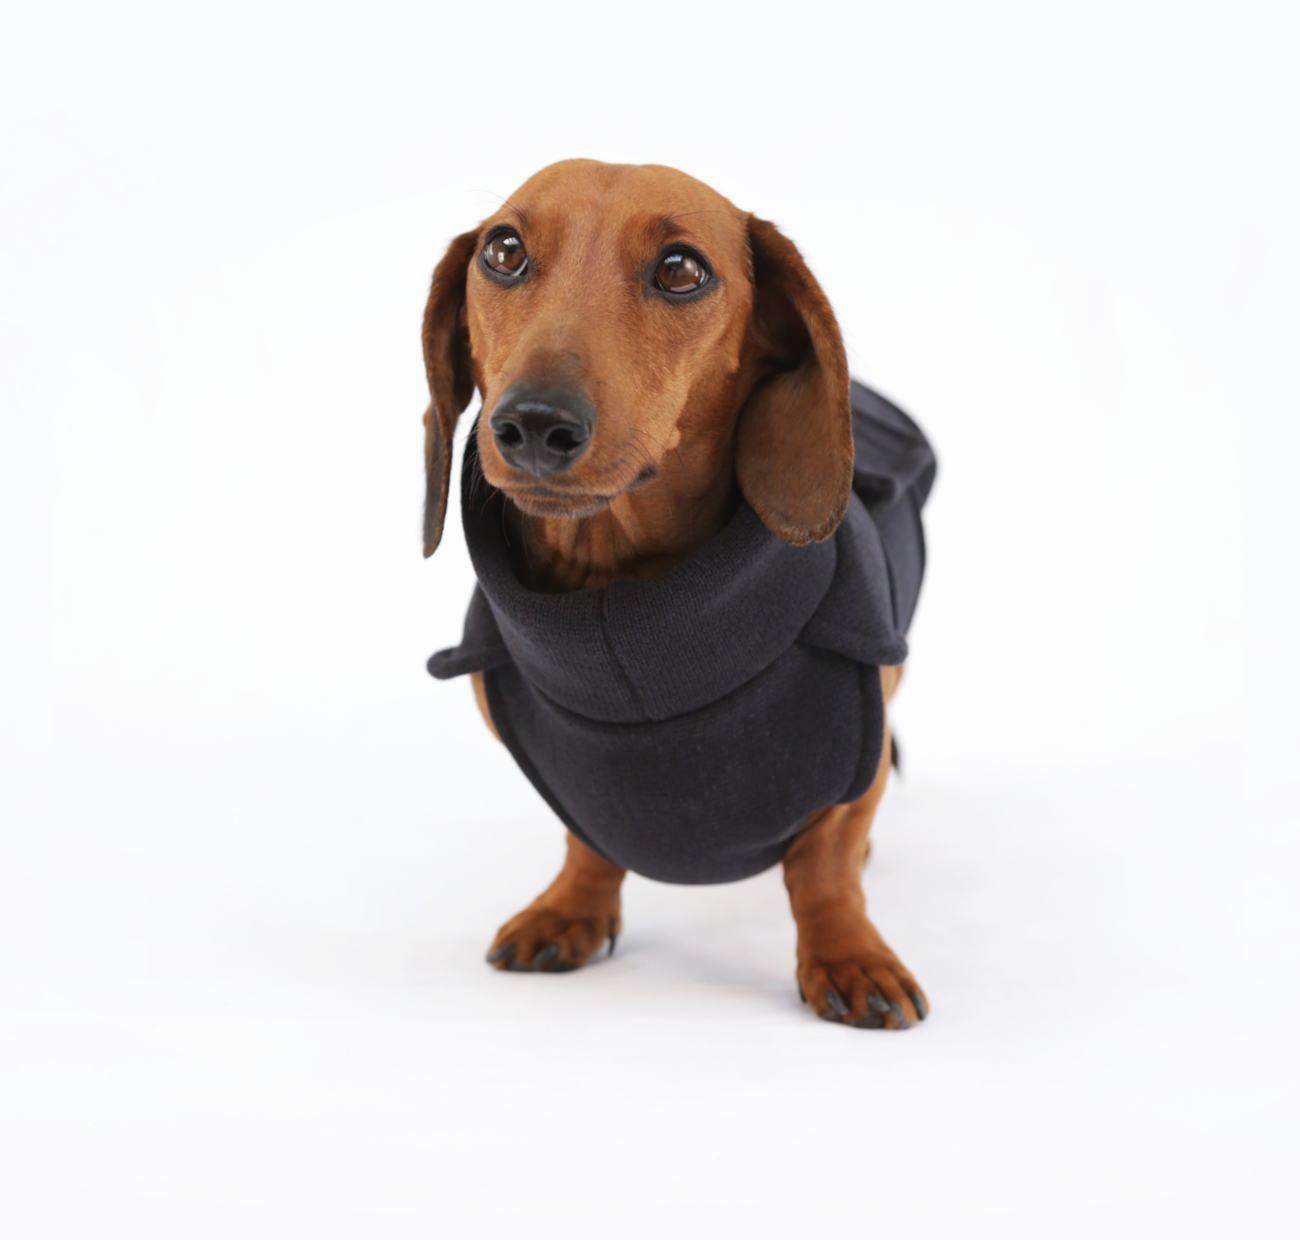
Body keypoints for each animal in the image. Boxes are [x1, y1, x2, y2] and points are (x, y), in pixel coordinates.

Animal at [422, 160, 935, 1030]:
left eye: (680, 270)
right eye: (503, 251)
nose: (534, 424)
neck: (624, 616)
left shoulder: (864, 737)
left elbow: (825, 864)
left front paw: (848, 955)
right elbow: (586, 837)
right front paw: (571, 910)